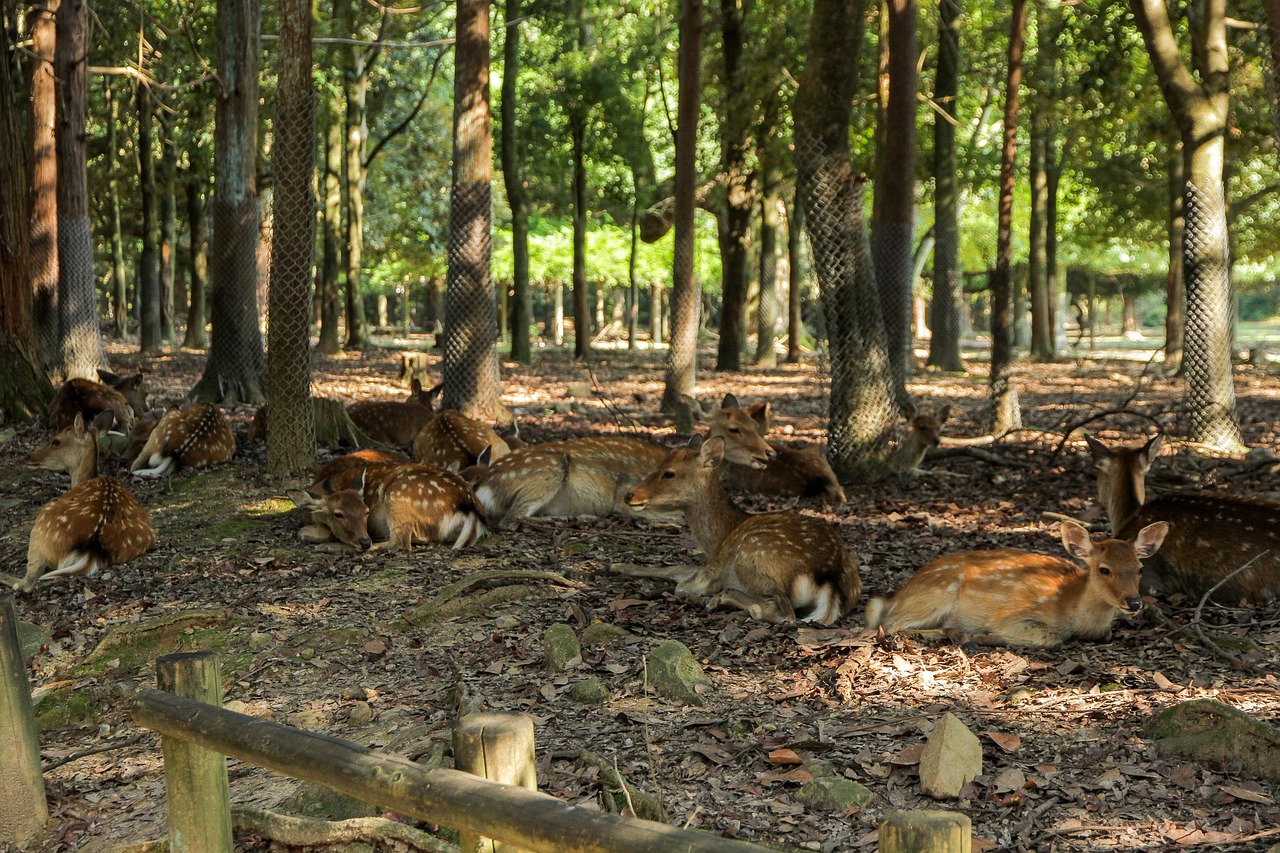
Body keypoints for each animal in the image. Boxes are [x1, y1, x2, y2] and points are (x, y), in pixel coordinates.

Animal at [287, 460, 488, 551]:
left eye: (367, 512)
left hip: (399, 496)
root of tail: (470, 506)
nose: (365, 541)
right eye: (338, 514)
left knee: (400, 542)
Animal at [623, 437, 862, 625]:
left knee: (783, 612)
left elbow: (680, 585)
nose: (630, 495)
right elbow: (674, 569)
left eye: (669, 473)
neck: (718, 538)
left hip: (752, 553)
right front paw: (617, 567)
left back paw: (716, 600)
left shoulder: (714, 567)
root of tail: (830, 577)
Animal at [865, 521, 1168, 648]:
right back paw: (963, 635)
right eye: (1104, 569)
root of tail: (895, 596)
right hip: (937, 594)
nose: (1134, 602)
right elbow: (1051, 638)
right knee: (891, 625)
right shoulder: (1011, 615)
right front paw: (986, 636)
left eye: (1139, 569)